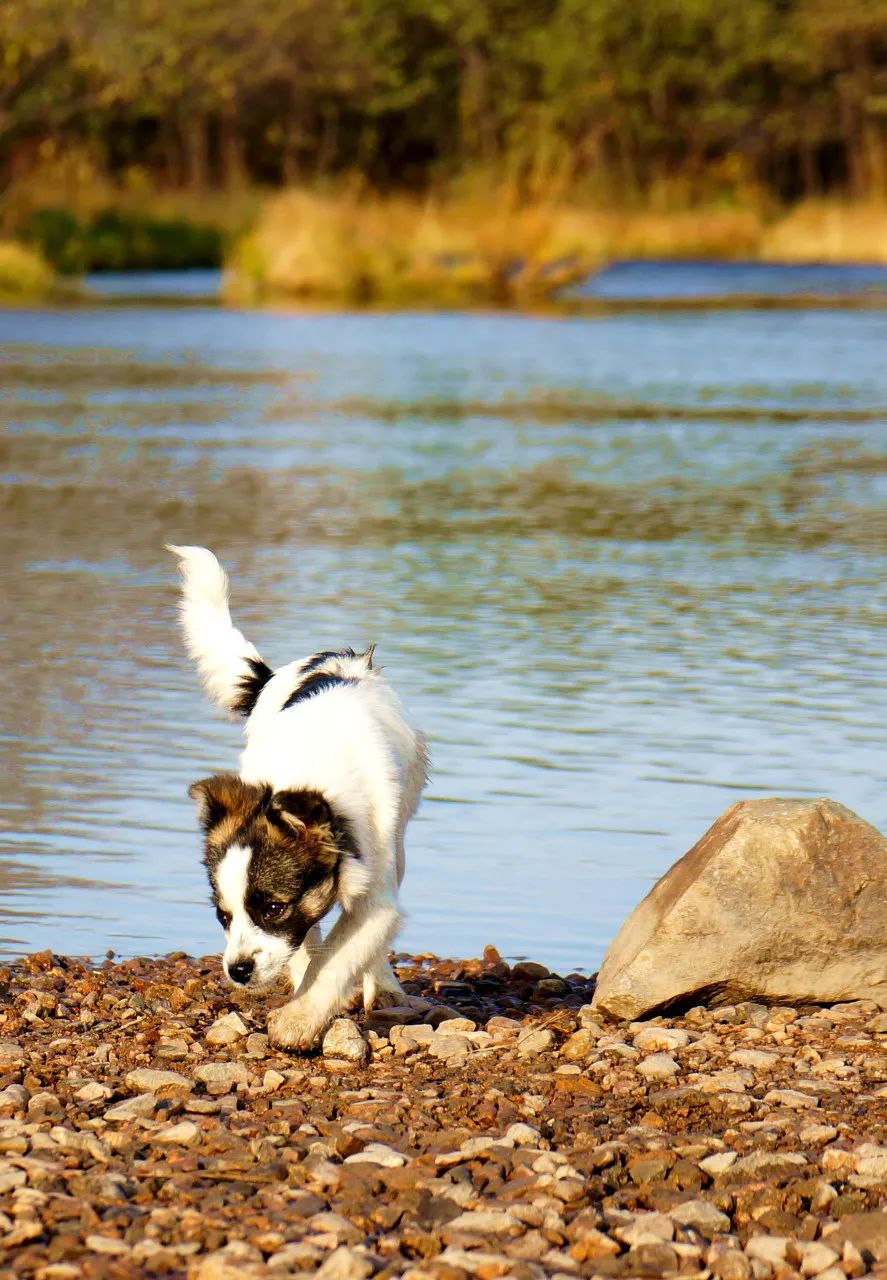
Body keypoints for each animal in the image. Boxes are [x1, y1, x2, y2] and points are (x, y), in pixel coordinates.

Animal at [168, 542, 430, 1049]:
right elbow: (311, 947)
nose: (238, 971)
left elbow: (341, 955)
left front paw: (298, 1020)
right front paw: (302, 992)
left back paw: (384, 987)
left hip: (400, 844)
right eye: (223, 916)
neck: (305, 780)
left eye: (273, 908)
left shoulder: (374, 892)